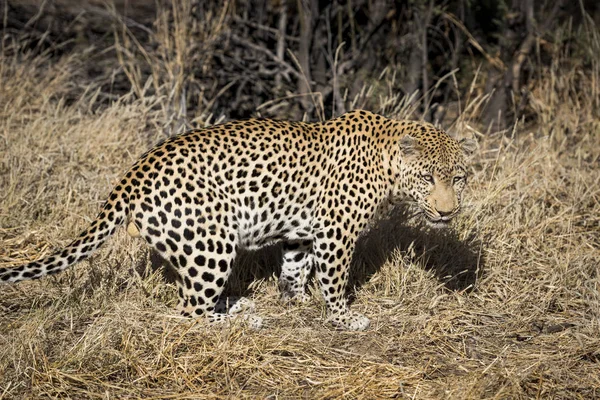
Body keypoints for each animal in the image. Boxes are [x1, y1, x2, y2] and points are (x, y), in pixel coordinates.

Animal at [1, 110, 478, 332]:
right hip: (211, 242)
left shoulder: (301, 232)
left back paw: (238, 305)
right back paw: (239, 320)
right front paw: (343, 317)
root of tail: (131, 175)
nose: (446, 211)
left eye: (457, 178)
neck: (386, 164)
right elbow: (336, 280)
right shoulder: (336, 234)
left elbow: (294, 269)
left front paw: (295, 301)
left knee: (192, 300)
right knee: (187, 312)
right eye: (428, 178)